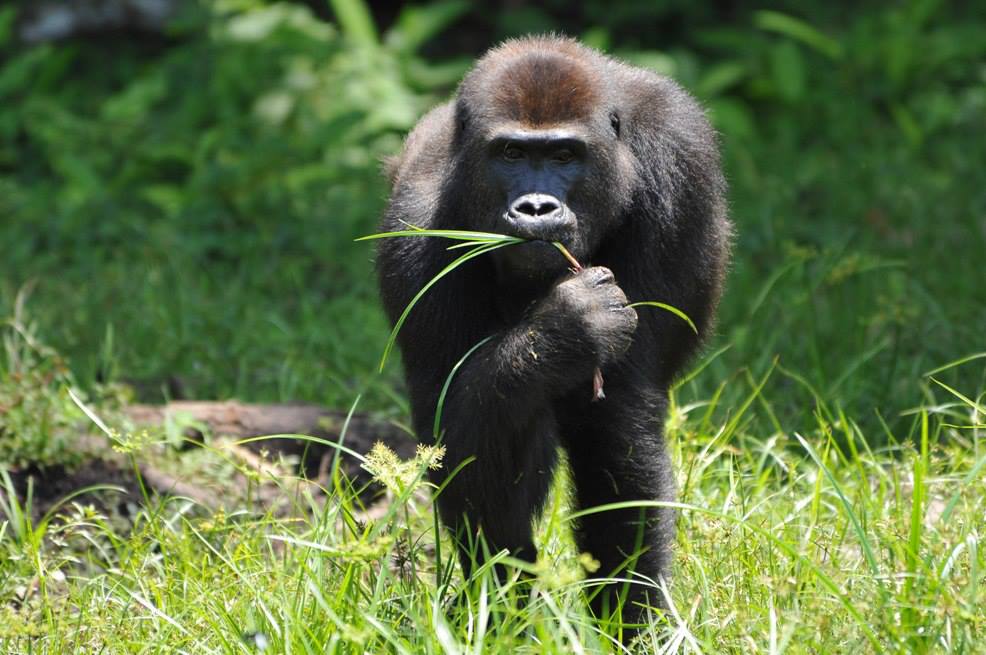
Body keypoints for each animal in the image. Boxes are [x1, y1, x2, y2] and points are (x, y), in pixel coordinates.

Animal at [376, 36, 732, 632]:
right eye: (511, 155)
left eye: (565, 156)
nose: (537, 207)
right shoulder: (416, 226)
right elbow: (455, 426)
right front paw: (568, 327)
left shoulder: (680, 167)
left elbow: (617, 422)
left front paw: (631, 623)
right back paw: (502, 614)